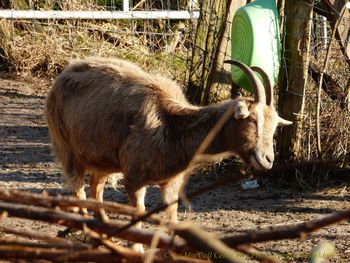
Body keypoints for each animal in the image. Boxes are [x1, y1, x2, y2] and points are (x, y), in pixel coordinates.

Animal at [44, 57, 292, 252]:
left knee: (96, 185)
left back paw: (105, 231)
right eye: (253, 120)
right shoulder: (134, 179)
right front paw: (137, 249)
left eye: (274, 125)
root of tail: (65, 72)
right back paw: (88, 231)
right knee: (78, 188)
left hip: (103, 158)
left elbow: (172, 216)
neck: (170, 124)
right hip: (66, 146)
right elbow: (139, 213)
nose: (267, 160)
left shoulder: (171, 183)